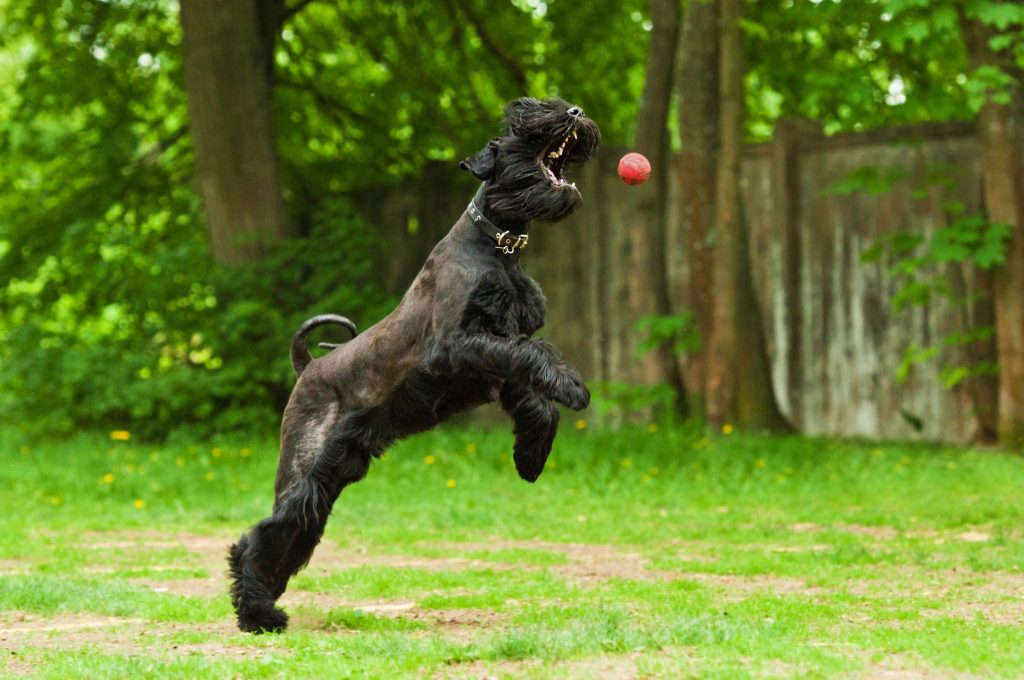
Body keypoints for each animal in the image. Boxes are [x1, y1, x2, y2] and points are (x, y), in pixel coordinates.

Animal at [226, 98, 598, 634]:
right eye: (520, 130)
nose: (572, 110)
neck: (496, 247)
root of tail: (306, 367)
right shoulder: (460, 345)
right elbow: (538, 354)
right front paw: (573, 388)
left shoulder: (497, 364)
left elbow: (535, 396)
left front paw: (530, 457)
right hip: (304, 470)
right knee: (259, 536)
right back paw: (258, 614)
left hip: (329, 479)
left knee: (290, 536)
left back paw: (264, 604)